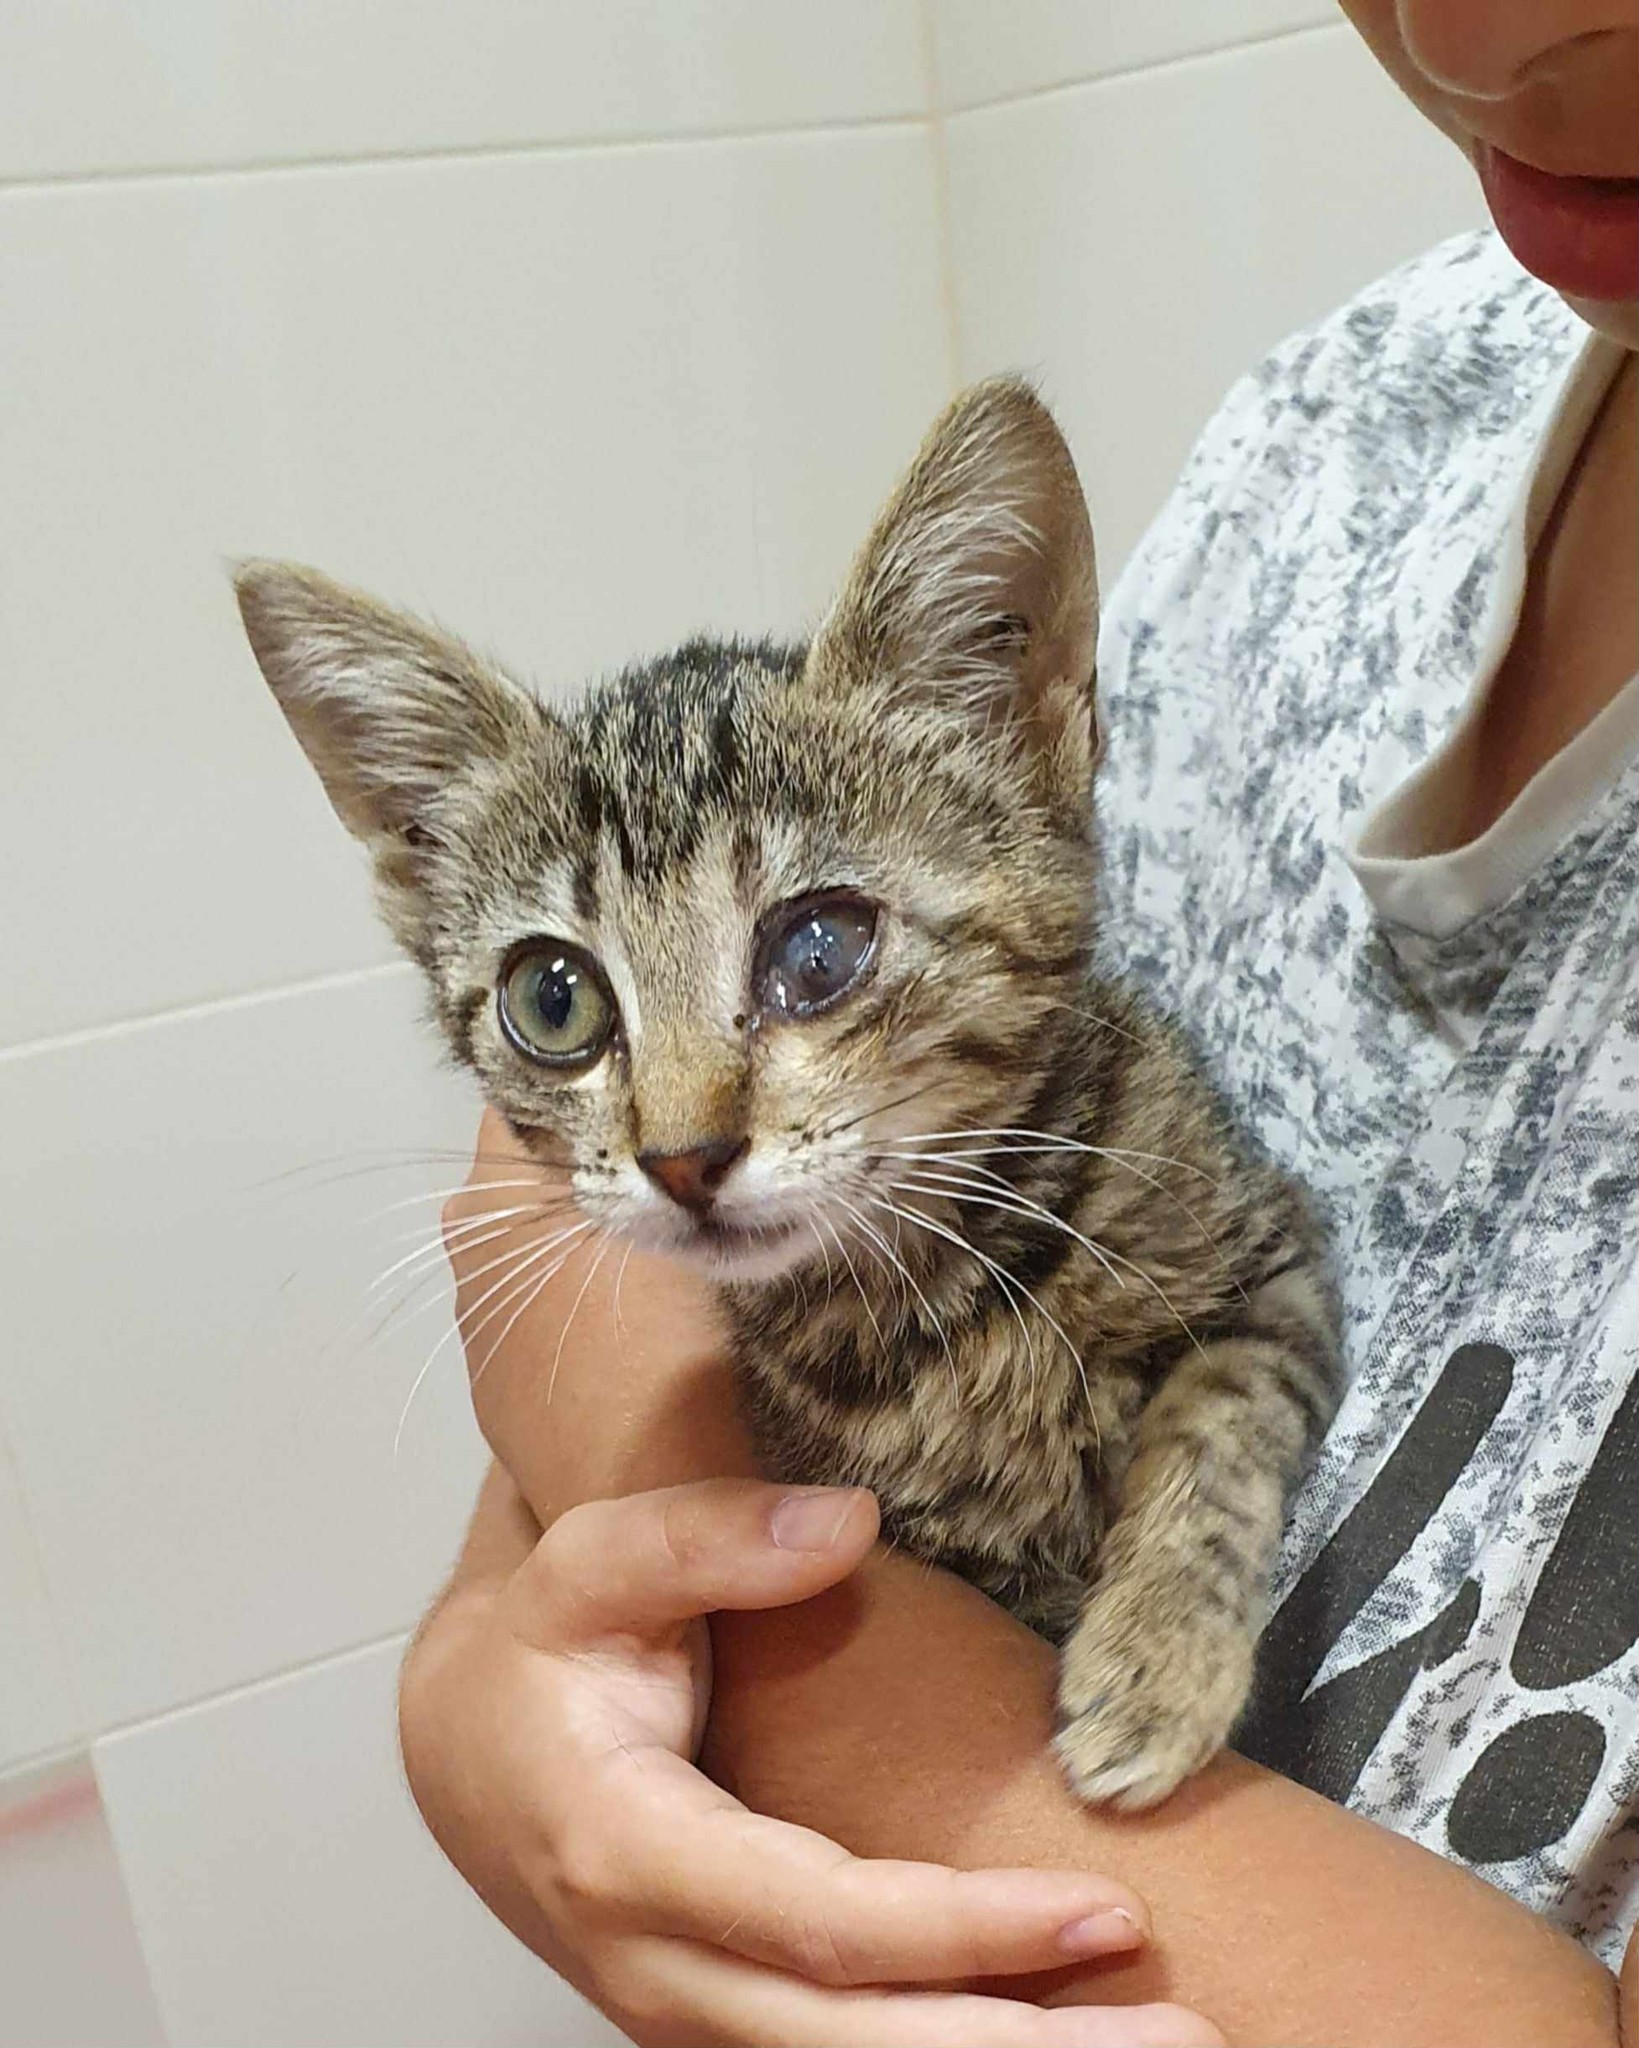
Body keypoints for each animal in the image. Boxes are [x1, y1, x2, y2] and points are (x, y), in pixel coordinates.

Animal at [235, 377, 1340, 1808]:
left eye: (818, 950)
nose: (683, 1156)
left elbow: (1219, 1418)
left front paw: (1154, 1658)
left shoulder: (1275, 1251)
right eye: (554, 999)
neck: (943, 1287)